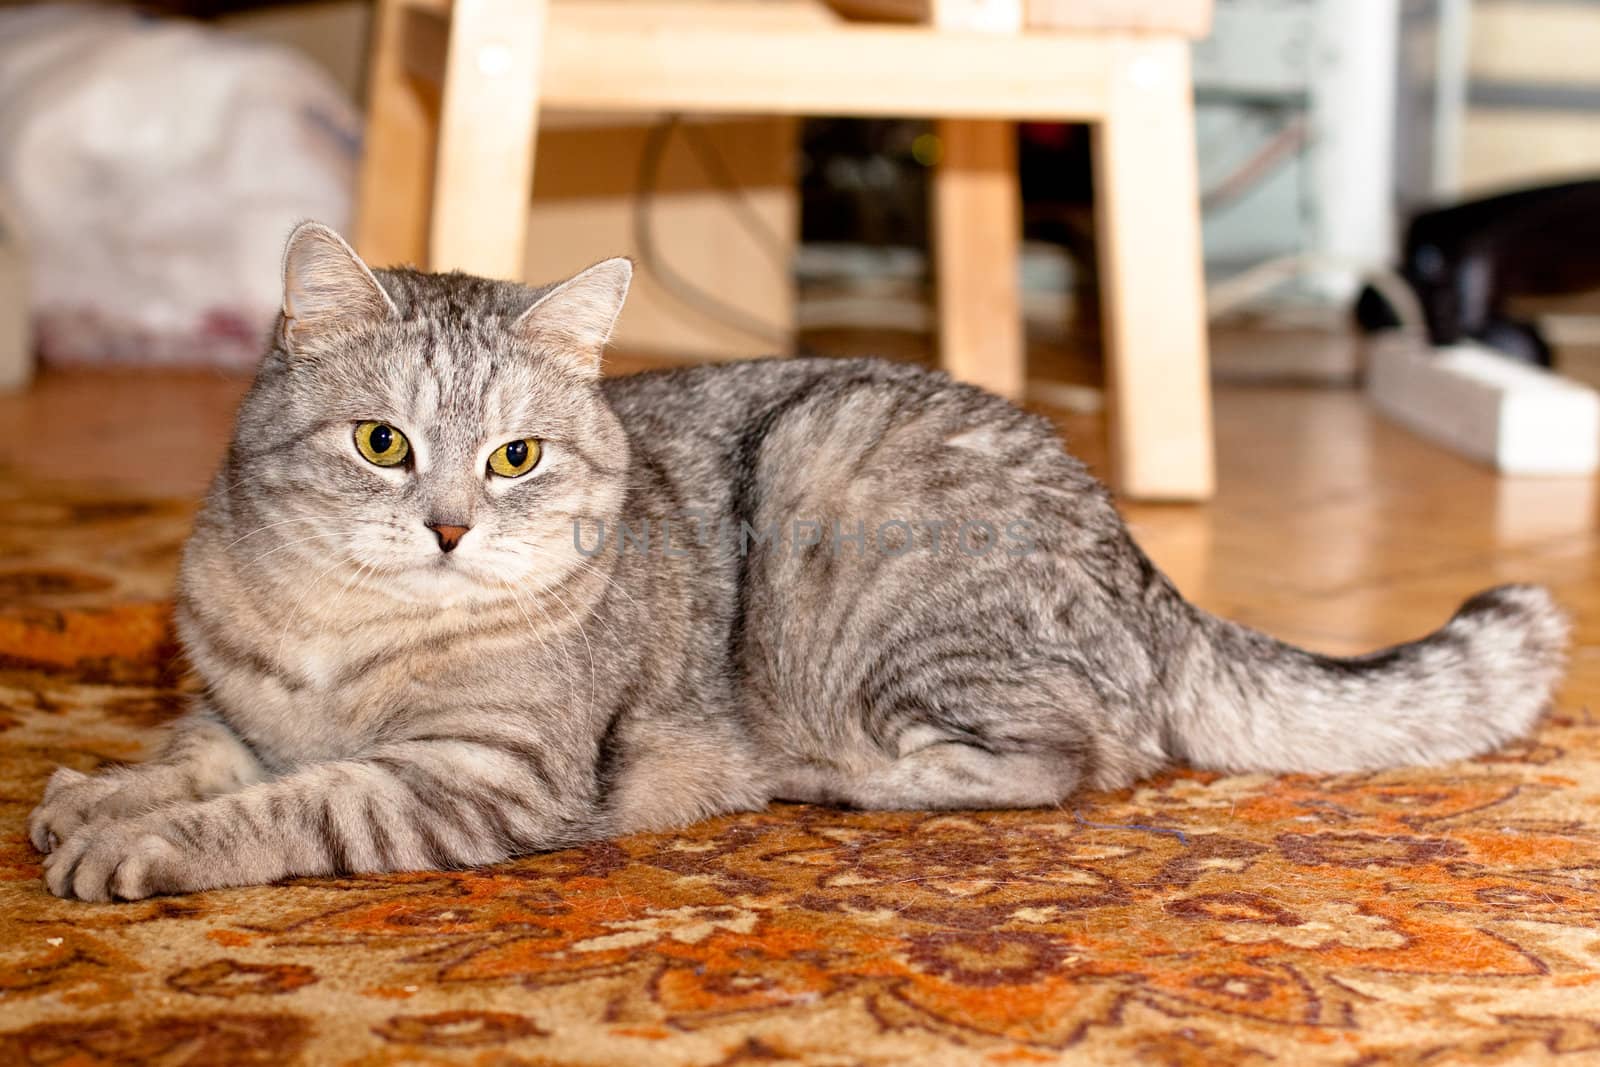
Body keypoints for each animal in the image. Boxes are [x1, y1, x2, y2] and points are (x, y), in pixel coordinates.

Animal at [28, 225, 1574, 902]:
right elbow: (193, 754)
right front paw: (94, 792)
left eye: (516, 456)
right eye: (381, 441)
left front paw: (140, 844)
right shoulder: (236, 706)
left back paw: (843, 777)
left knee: (1067, 758)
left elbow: (291, 805)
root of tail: (1148, 569)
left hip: (858, 528)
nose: (452, 527)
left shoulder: (474, 772)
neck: (335, 636)